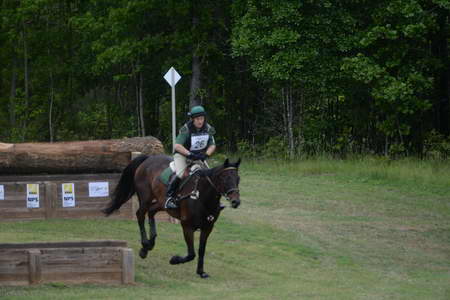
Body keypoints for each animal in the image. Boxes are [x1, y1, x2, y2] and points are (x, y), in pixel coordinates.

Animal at [103, 155, 243, 278]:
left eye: (238, 179)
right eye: (224, 178)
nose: (236, 202)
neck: (202, 197)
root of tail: (148, 158)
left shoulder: (208, 227)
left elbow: (201, 250)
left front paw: (201, 272)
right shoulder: (187, 226)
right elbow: (191, 254)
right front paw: (174, 260)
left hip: (161, 203)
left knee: (151, 212)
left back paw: (150, 243)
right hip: (145, 198)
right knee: (140, 215)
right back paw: (144, 247)